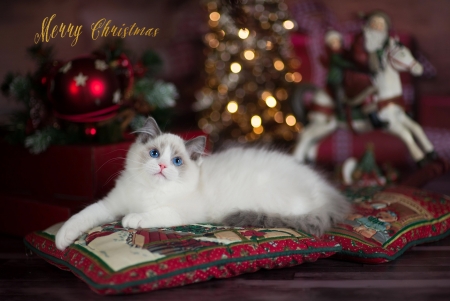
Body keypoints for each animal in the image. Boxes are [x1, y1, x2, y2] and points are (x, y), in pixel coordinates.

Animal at [55, 116, 352, 248]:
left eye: (177, 161)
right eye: (155, 154)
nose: (162, 166)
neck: (148, 191)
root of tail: (326, 190)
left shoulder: (178, 213)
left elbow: (149, 215)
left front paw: (132, 219)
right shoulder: (110, 204)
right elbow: (83, 215)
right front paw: (62, 239)